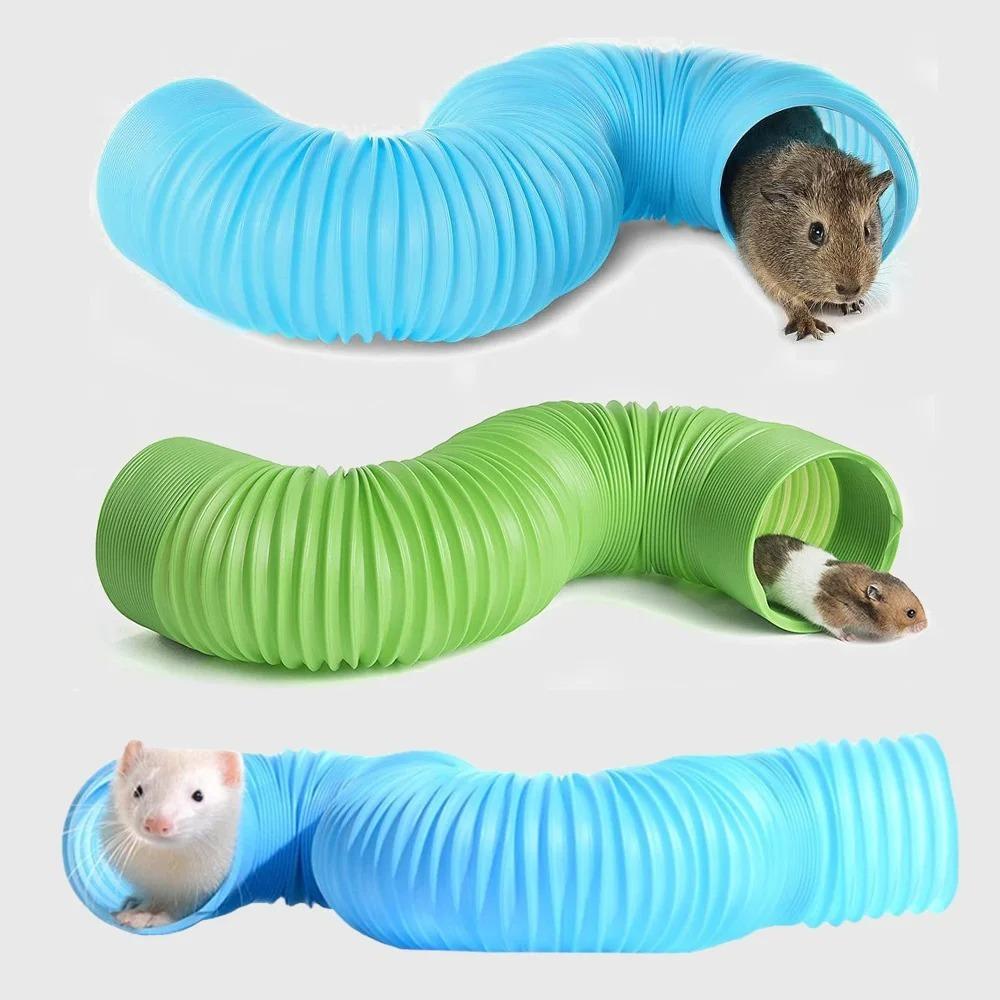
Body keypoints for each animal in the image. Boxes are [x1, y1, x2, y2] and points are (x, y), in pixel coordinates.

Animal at [101, 740, 243, 929]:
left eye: (199, 794)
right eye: (137, 790)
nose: (157, 822)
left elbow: (184, 909)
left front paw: (156, 918)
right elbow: (151, 900)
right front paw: (134, 913)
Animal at [723, 107, 893, 341]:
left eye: (867, 231)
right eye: (816, 232)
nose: (849, 290)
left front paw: (853, 306)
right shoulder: (758, 265)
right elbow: (789, 298)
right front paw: (811, 329)